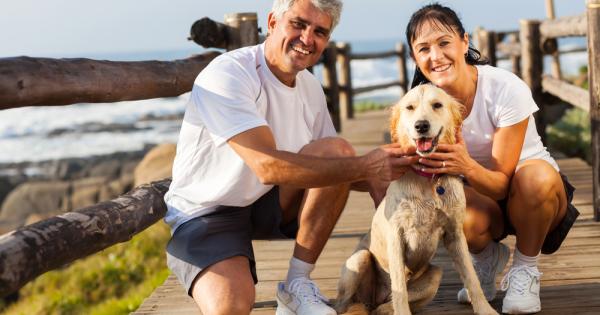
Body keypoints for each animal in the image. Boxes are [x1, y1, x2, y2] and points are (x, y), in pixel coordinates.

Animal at [332, 84, 496, 315]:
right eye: (410, 107)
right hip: (358, 259)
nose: (421, 126)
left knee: (381, 307)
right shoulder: (396, 235)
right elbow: (399, 286)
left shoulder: (455, 233)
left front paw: (485, 309)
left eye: (437, 105)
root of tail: (373, 299)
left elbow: (472, 278)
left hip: (435, 275)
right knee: (345, 304)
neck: (428, 178)